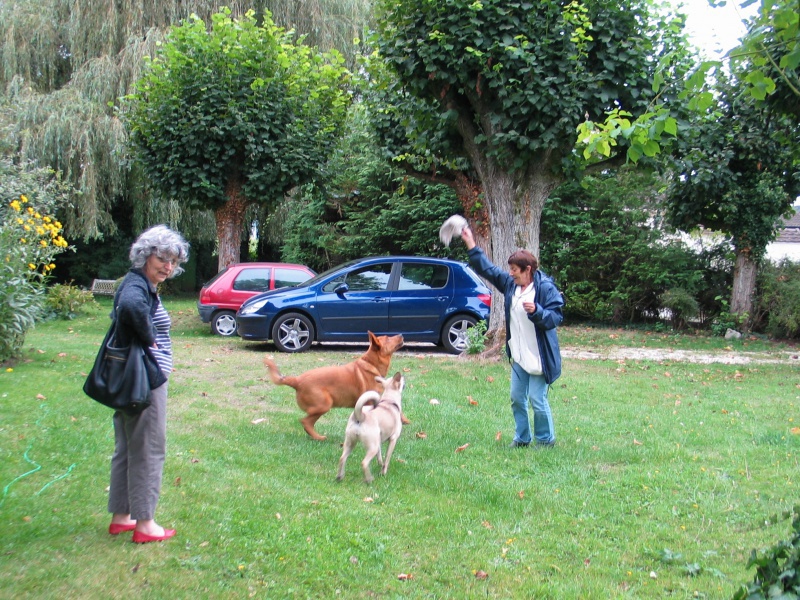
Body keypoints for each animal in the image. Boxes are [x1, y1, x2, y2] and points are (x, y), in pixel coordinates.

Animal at [264, 328, 404, 440]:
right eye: (387, 338)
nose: (402, 334)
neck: (371, 363)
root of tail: (297, 380)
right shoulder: (368, 402)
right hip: (324, 404)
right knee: (305, 421)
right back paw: (318, 438)